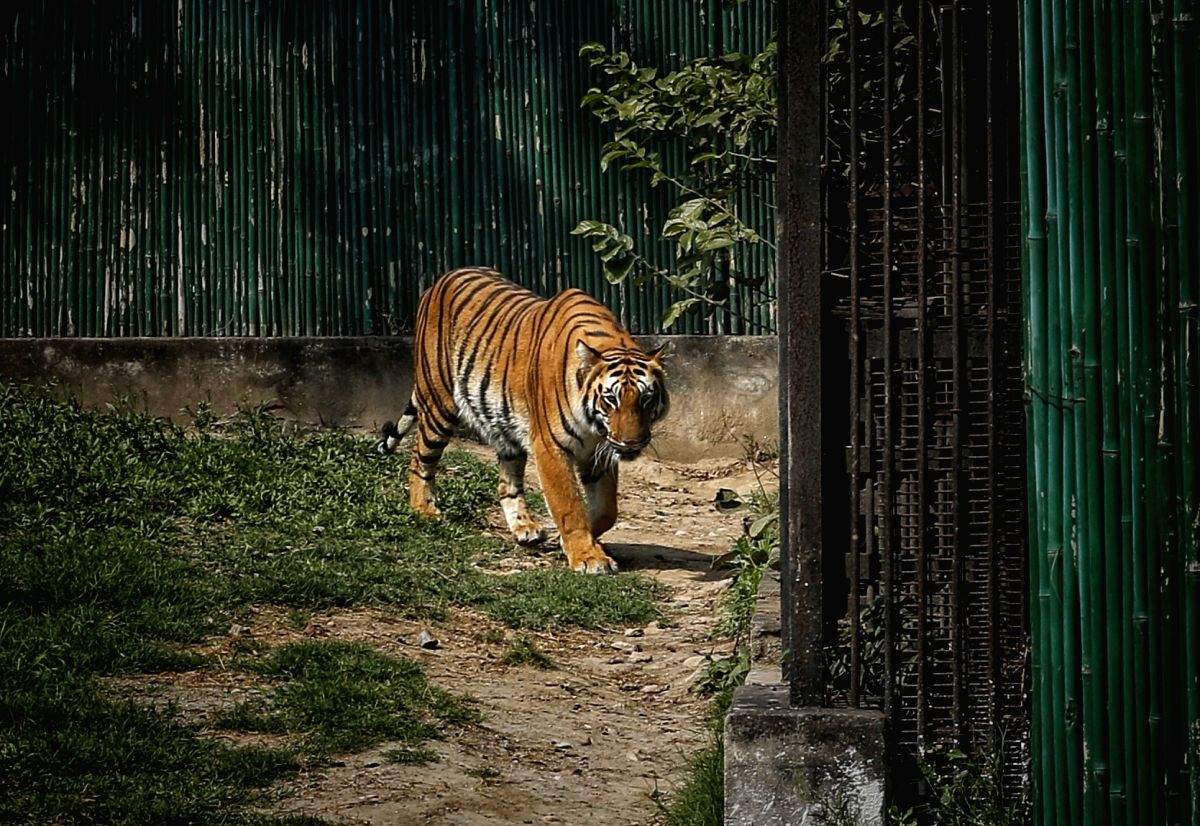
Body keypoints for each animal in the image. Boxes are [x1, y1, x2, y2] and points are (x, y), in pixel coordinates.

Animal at [377, 267, 669, 574]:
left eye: (646, 399)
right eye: (611, 399)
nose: (632, 443)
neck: (594, 428)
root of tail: (440, 280)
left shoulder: (600, 451)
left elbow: (606, 511)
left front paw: (566, 541)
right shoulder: (551, 447)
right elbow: (570, 505)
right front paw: (588, 557)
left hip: (505, 426)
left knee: (506, 484)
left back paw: (525, 529)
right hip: (438, 405)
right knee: (419, 460)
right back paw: (424, 509)